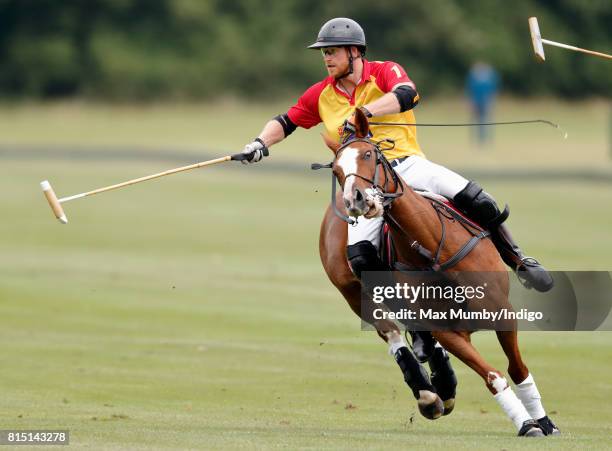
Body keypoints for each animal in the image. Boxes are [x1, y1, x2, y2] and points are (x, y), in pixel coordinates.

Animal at [318, 108, 552, 434]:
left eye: (368, 154)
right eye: (337, 170)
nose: (357, 200)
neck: (432, 247)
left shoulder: (501, 311)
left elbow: (517, 369)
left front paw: (544, 423)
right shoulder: (446, 329)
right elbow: (493, 376)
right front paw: (526, 424)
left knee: (477, 197)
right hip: (354, 291)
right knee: (392, 331)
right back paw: (429, 393)